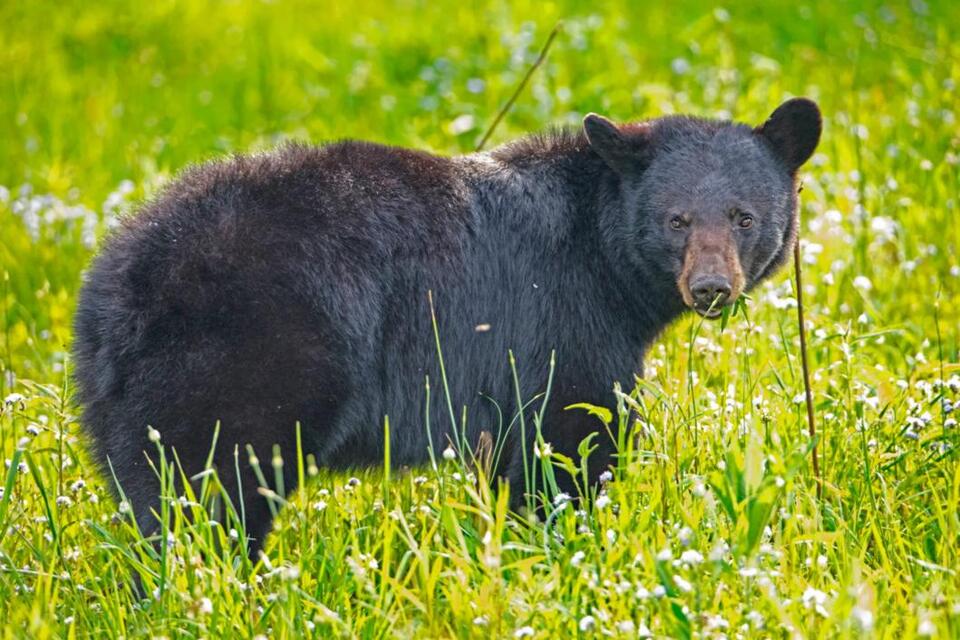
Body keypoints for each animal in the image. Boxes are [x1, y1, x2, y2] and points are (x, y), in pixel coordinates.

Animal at [72, 98, 822, 554]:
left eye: (744, 217)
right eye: (677, 220)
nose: (711, 287)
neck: (602, 259)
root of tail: (119, 282)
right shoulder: (560, 319)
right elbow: (570, 437)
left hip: (120, 401)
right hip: (238, 366)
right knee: (206, 496)